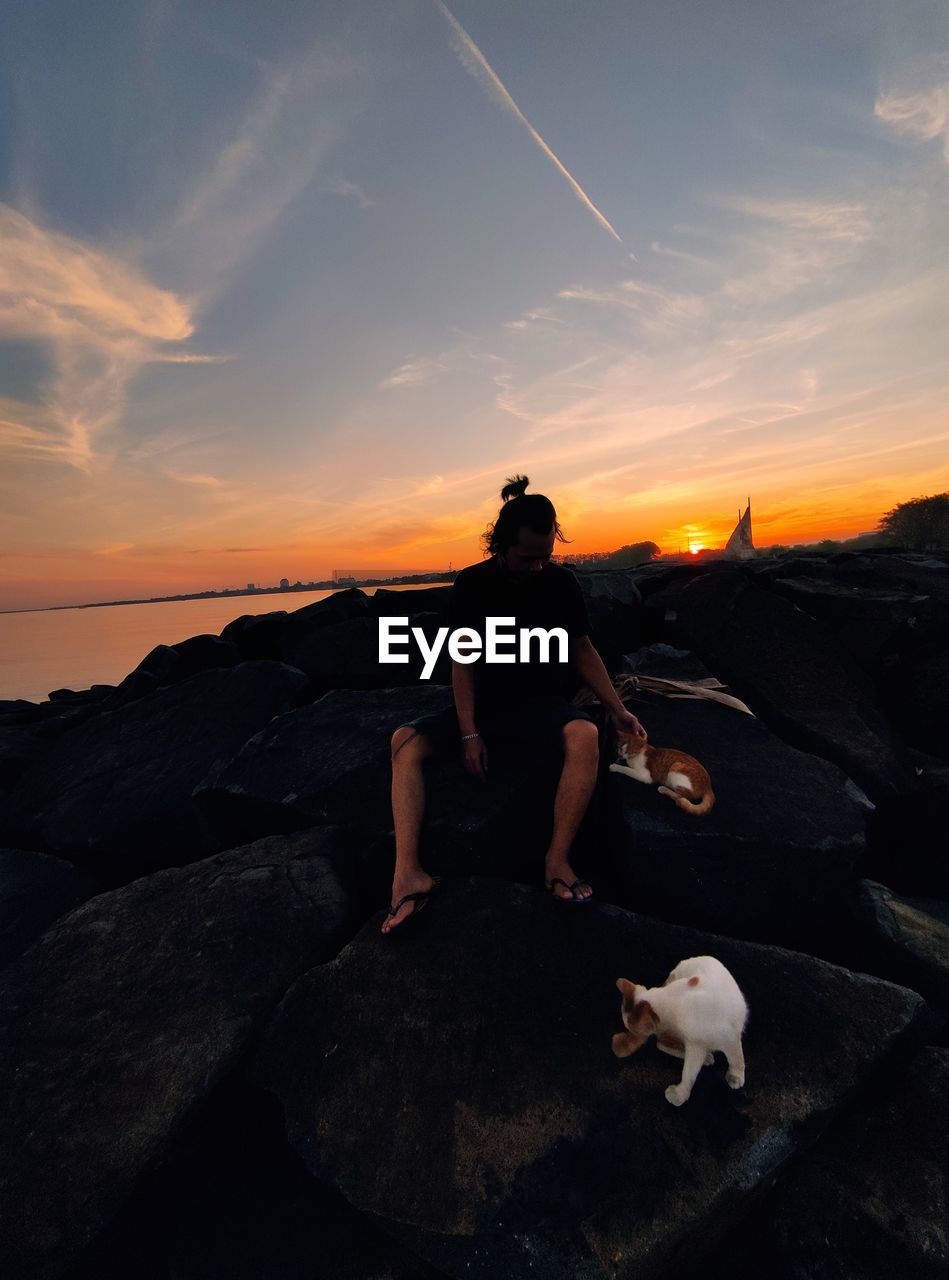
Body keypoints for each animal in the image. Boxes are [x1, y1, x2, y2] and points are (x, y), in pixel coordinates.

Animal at [614, 957, 747, 1105]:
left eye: (632, 1030)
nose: (630, 1032)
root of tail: (686, 960)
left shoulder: (729, 1039)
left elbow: (736, 1059)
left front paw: (735, 1077)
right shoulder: (695, 1046)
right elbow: (687, 1073)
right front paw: (681, 1094)